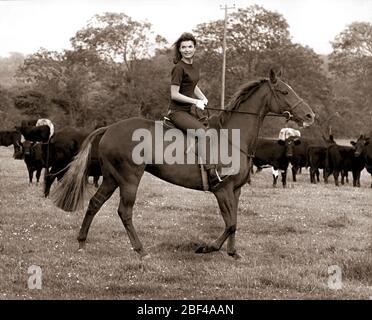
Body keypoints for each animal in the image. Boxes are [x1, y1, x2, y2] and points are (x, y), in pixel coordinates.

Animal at [51, 69, 314, 258]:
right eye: (284, 92)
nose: (310, 115)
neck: (233, 137)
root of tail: (109, 128)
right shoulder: (222, 190)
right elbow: (230, 223)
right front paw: (207, 248)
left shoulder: (236, 190)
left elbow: (235, 222)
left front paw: (233, 252)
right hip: (128, 178)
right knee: (124, 212)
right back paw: (141, 251)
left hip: (111, 178)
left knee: (94, 203)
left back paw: (82, 242)